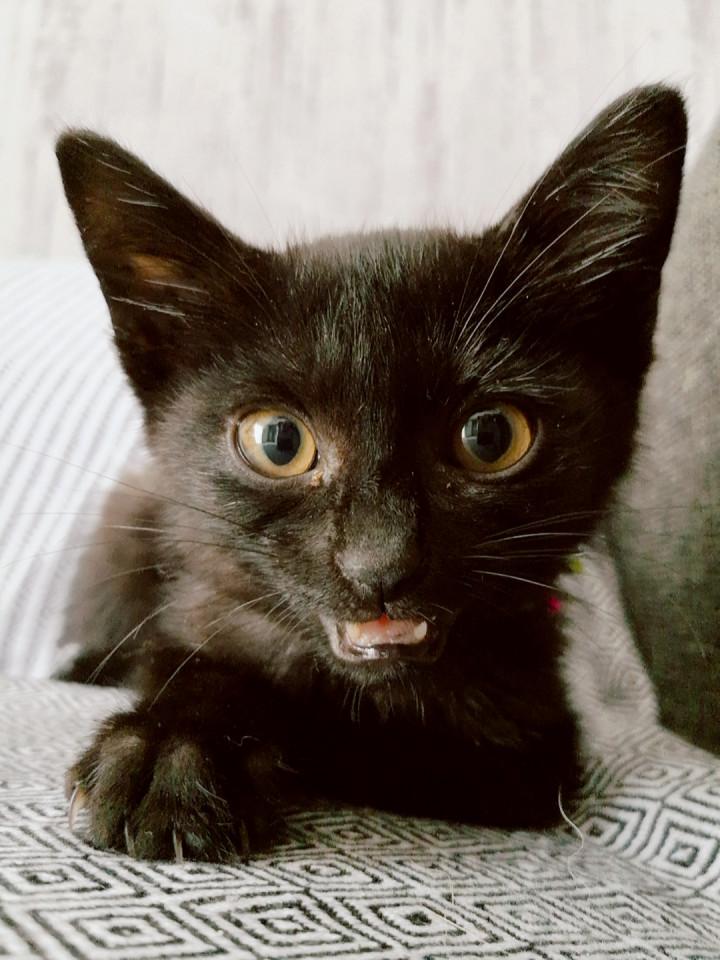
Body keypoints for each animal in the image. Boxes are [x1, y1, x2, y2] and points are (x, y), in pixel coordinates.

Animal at [56, 85, 686, 862]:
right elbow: (190, 653)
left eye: (491, 435)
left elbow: (359, 735)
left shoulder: (532, 758)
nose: (379, 566)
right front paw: (173, 742)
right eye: (277, 441)